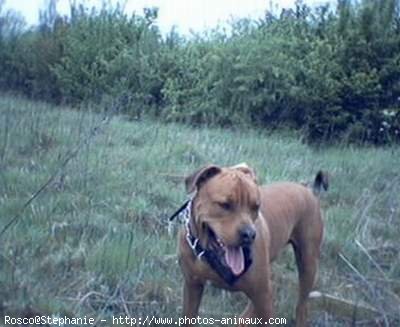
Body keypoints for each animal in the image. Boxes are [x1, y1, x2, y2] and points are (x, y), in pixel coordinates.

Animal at [174, 165, 328, 326]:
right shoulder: (192, 286)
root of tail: (308, 190)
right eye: (224, 205)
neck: (211, 255)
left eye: (255, 207)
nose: (249, 234)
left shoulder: (263, 298)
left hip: (307, 264)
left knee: (301, 306)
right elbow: (188, 316)